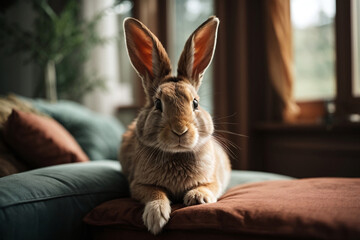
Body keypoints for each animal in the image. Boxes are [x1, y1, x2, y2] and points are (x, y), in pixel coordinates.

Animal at [118, 16, 231, 234]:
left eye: (195, 103)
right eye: (157, 104)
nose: (180, 130)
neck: (177, 154)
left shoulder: (214, 180)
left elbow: (209, 187)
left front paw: (198, 198)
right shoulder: (138, 185)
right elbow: (155, 193)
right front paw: (155, 218)